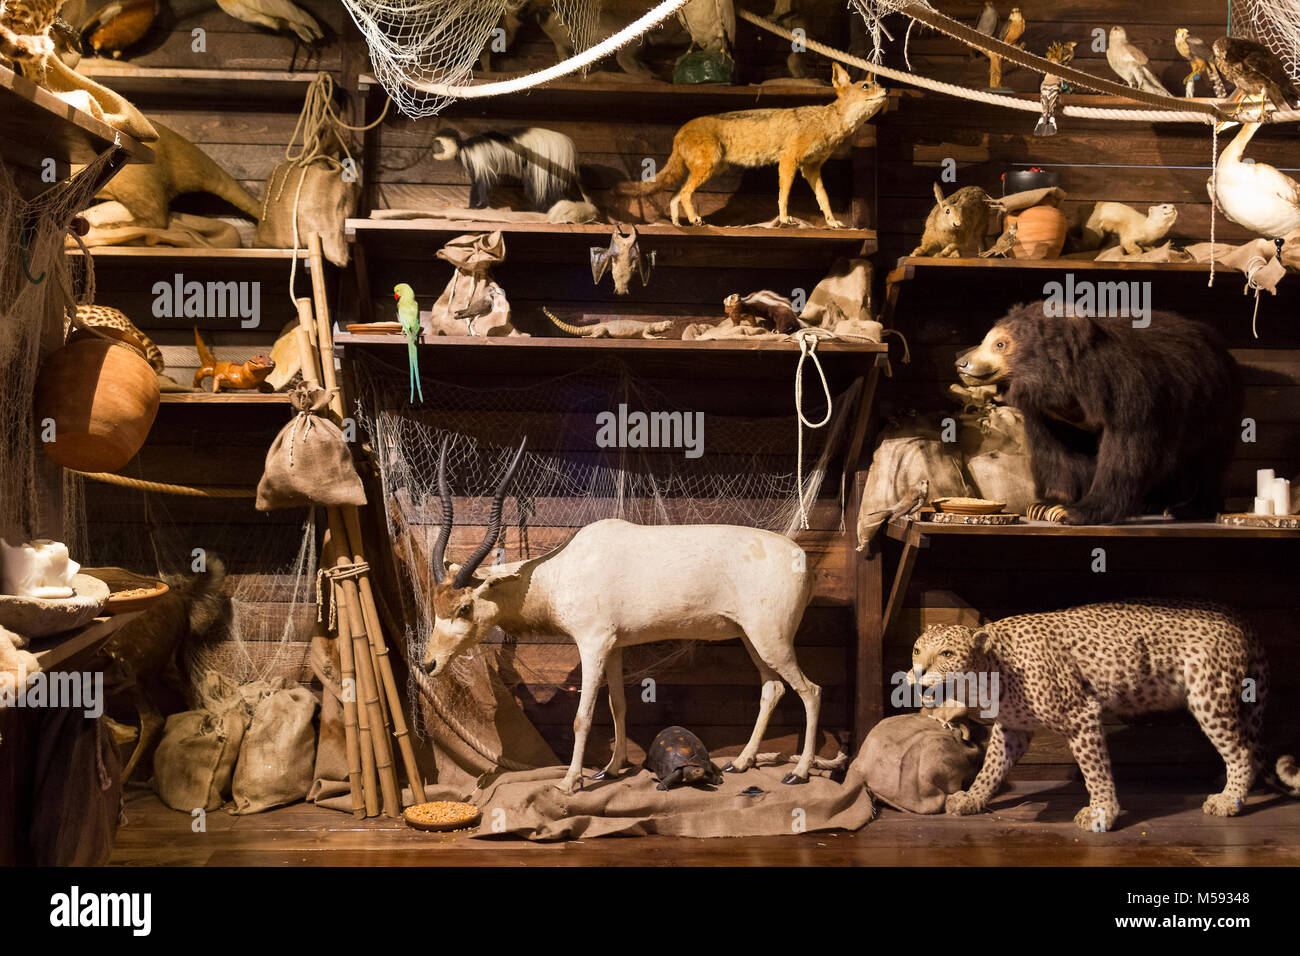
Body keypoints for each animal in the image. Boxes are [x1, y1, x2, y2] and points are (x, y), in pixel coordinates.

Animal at [421, 439, 816, 790]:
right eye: (436, 605)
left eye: (464, 607)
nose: (428, 664)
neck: (562, 571)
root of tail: (801, 559)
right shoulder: (614, 647)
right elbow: (617, 705)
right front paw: (610, 769)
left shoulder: (593, 644)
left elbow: (582, 717)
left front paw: (570, 782)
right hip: (752, 638)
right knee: (773, 688)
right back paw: (741, 762)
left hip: (772, 640)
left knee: (810, 691)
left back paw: (799, 772)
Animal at [431, 127, 585, 210]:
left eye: (437, 145)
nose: (432, 150)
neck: (462, 146)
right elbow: (475, 182)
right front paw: (472, 206)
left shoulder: (476, 157)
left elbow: (482, 182)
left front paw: (479, 206)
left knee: (543, 186)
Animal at [909, 600, 1300, 832]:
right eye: (916, 649)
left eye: (946, 653)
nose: (916, 671)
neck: (990, 673)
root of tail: (1238, 617)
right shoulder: (1013, 729)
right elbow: (991, 768)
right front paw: (973, 798)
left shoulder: (1081, 715)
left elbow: (1094, 770)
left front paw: (1101, 814)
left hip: (1210, 698)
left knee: (1243, 751)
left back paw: (1229, 800)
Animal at [956, 303, 1237, 522]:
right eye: (985, 340)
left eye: (1000, 344)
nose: (961, 363)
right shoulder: (1049, 415)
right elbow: (1055, 453)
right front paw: (1045, 506)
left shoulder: (1131, 394)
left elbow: (1125, 453)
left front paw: (1072, 512)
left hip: (1214, 406)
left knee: (1209, 460)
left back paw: (1186, 509)